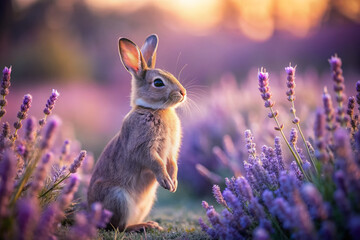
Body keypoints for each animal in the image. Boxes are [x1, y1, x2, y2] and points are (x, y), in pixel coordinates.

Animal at [87, 34, 187, 232]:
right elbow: (156, 163)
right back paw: (144, 226)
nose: (183, 92)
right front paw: (166, 181)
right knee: (118, 227)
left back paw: (150, 224)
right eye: (158, 83)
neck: (154, 109)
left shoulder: (171, 151)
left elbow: (172, 164)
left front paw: (174, 184)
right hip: (118, 198)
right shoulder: (143, 148)